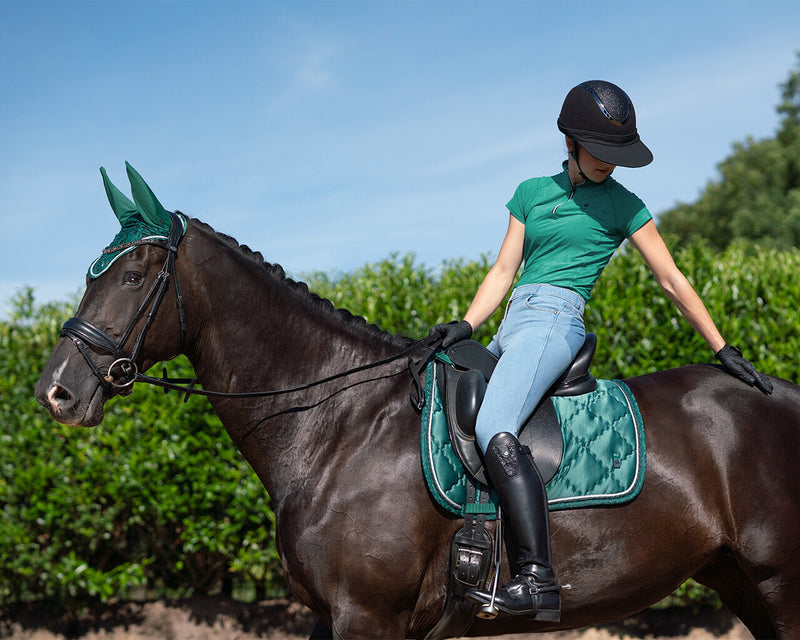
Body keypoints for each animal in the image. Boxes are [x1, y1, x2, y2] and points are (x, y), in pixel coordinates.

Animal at [34, 172, 800, 636]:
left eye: (134, 276)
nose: (57, 391)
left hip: (779, 583)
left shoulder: (366, 615)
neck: (337, 426)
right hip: (740, 581)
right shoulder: (335, 615)